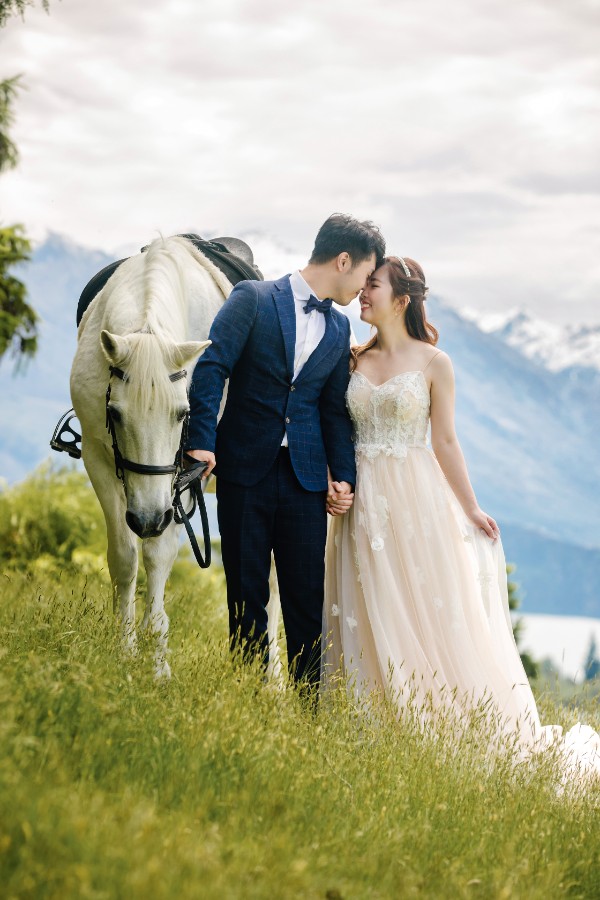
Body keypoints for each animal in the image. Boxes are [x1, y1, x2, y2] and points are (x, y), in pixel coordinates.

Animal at [72, 236, 282, 680]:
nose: (149, 519)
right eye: (115, 413)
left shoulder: (188, 472)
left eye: (184, 413)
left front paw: (158, 667)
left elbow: (158, 555)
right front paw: (125, 654)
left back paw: (272, 680)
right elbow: (125, 557)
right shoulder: (98, 459)